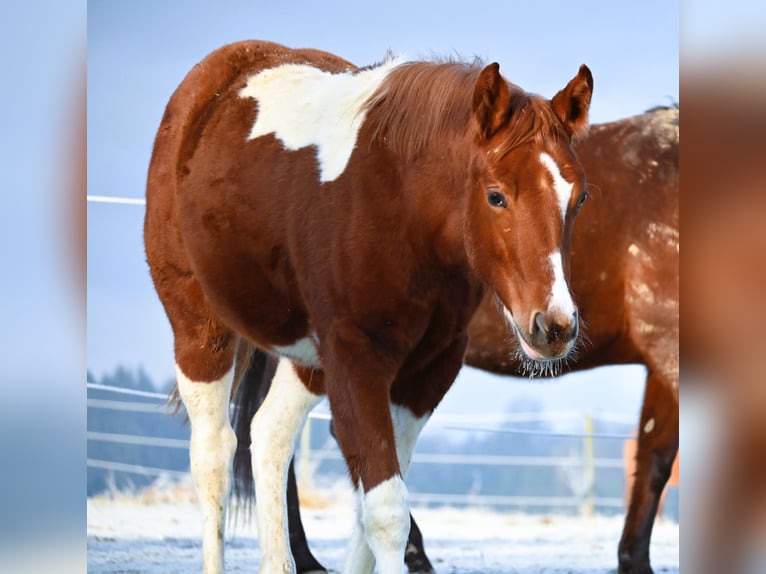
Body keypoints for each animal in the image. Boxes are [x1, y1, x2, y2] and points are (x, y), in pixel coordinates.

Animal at [144, 41, 592, 574]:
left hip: (309, 359)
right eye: (496, 196)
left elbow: (368, 510)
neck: (405, 210)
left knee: (269, 435)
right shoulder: (357, 360)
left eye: (579, 197)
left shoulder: (425, 372)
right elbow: (385, 511)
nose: (555, 326)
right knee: (214, 455)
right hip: (200, 329)